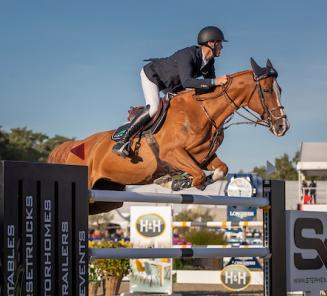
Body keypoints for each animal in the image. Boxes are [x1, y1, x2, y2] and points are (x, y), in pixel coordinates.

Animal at [48, 58, 290, 215]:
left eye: (280, 89)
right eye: (267, 90)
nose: (282, 126)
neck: (203, 112)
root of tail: (73, 146)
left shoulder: (204, 157)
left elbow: (220, 170)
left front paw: (175, 181)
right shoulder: (172, 154)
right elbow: (197, 175)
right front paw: (173, 182)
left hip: (106, 196)